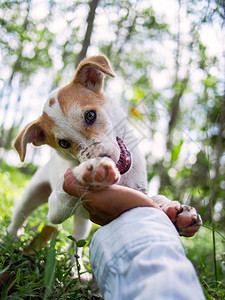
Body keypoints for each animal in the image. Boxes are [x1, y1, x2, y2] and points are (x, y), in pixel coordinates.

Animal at [8, 54, 202, 246]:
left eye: (90, 115)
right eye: (63, 143)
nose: (103, 157)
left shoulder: (139, 191)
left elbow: (155, 199)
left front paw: (176, 210)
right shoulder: (55, 210)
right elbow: (64, 190)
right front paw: (88, 170)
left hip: (81, 226)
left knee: (75, 245)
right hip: (32, 193)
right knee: (19, 217)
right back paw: (10, 238)